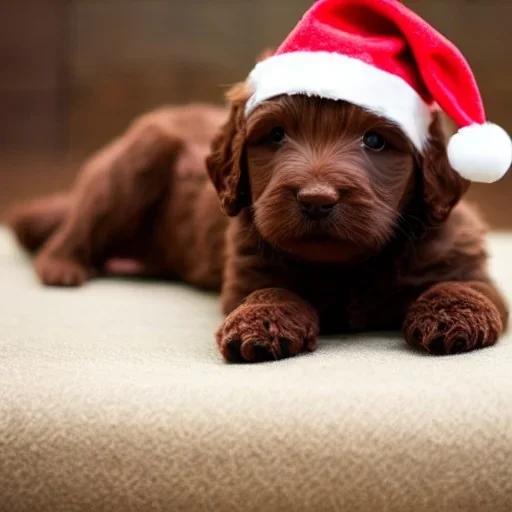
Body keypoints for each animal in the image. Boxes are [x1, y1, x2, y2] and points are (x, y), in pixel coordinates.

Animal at [7, 81, 508, 360]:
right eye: (276, 135)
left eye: (375, 141)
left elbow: (460, 286)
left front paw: (451, 319)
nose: (316, 200)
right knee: (78, 224)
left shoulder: (462, 260)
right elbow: (274, 291)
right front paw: (261, 326)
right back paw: (63, 266)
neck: (350, 263)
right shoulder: (249, 270)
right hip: (132, 164)